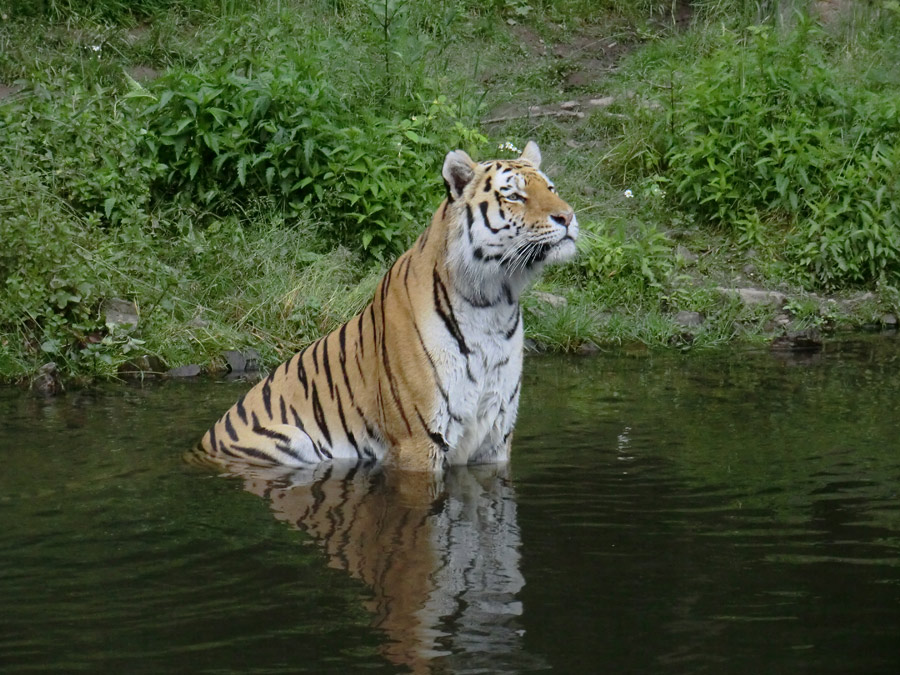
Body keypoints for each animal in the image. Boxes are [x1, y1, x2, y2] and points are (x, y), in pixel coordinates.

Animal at [196, 140, 576, 472]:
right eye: (514, 195)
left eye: (551, 188)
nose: (568, 217)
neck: (493, 301)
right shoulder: (419, 439)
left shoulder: (494, 438)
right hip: (290, 441)